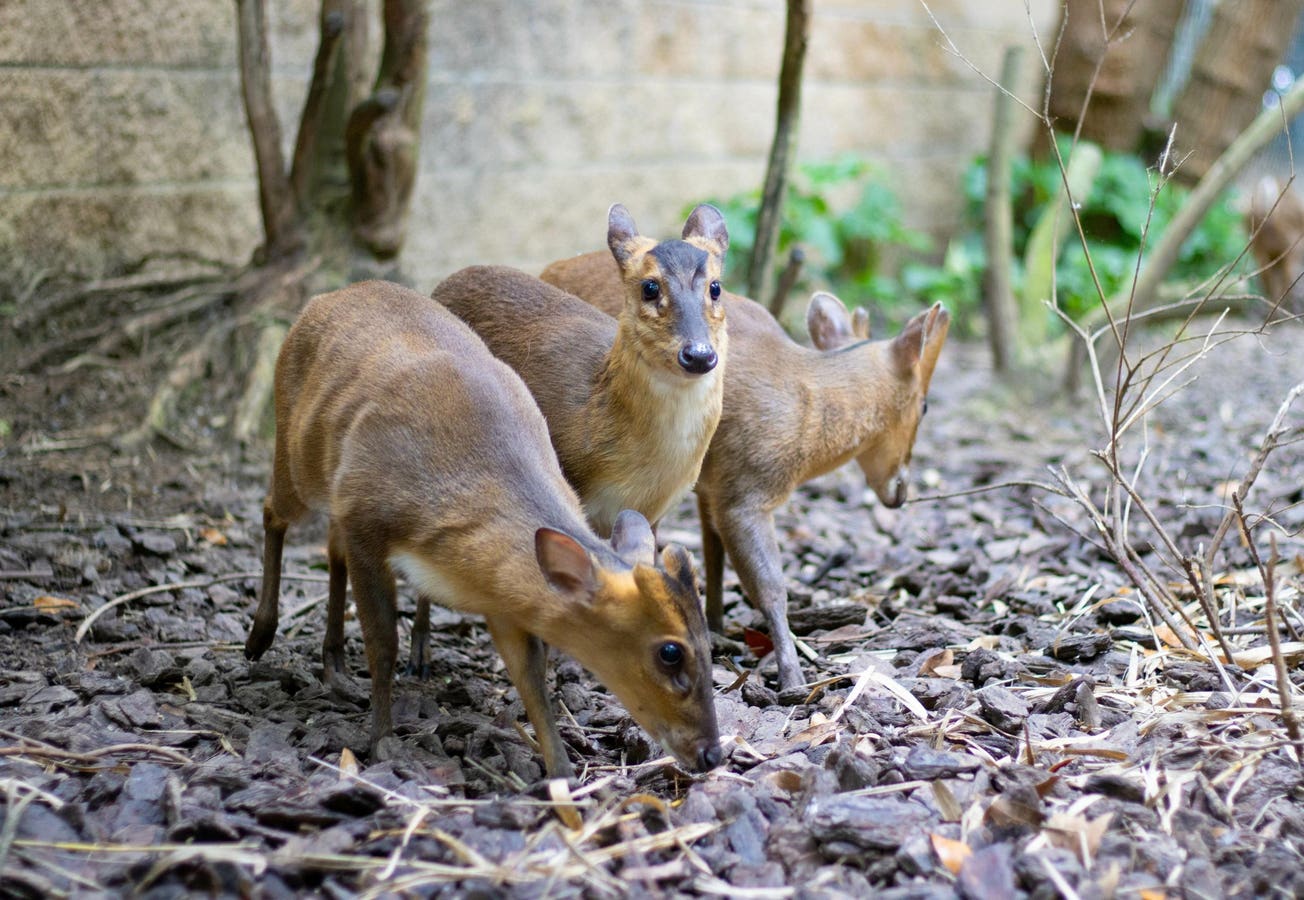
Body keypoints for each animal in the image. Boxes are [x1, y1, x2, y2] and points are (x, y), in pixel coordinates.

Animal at [243, 280, 721, 778]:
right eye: (670, 652)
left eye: (711, 646)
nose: (712, 753)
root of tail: (326, 297)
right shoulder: (366, 520)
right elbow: (382, 643)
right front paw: (382, 741)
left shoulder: (503, 595)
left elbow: (530, 675)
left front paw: (562, 772)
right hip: (298, 457)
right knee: (272, 511)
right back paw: (259, 637)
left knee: (330, 550)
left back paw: (333, 664)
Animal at [541, 251, 949, 693]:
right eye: (925, 406)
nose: (900, 492)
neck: (806, 405)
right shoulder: (744, 498)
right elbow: (769, 587)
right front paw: (792, 678)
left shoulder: (712, 486)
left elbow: (711, 553)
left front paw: (717, 629)